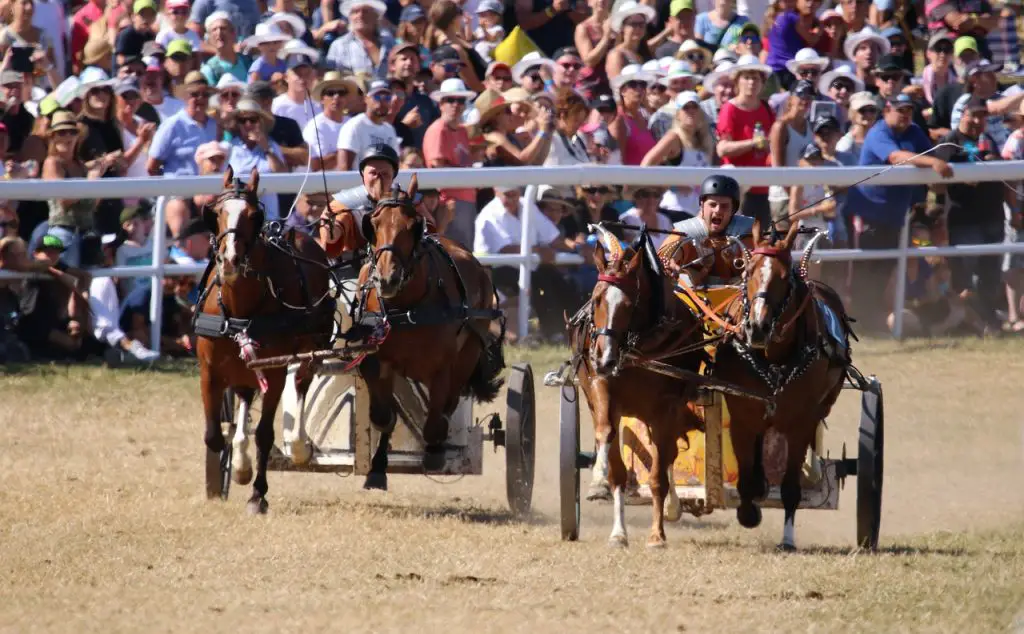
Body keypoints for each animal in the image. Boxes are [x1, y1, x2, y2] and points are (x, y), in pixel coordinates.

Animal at [195, 165, 331, 514]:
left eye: (254, 215)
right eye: (216, 212)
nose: (230, 260)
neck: (240, 309)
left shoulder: (275, 370)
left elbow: (265, 435)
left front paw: (258, 495)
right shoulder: (209, 371)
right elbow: (214, 435)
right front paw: (238, 468)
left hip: (310, 349)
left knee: (302, 385)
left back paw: (299, 447)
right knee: (244, 399)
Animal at [354, 176, 505, 489]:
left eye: (414, 225)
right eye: (372, 223)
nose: (387, 278)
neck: (404, 307)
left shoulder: (442, 367)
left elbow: (436, 417)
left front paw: (435, 453)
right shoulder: (376, 359)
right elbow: (383, 415)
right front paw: (376, 467)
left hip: (467, 354)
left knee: (448, 403)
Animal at [565, 228, 708, 548]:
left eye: (630, 305)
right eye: (596, 300)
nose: (603, 356)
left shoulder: (666, 407)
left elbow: (658, 475)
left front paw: (657, 534)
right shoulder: (602, 388)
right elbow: (609, 445)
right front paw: (617, 528)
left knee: (667, 455)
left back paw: (672, 506)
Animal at [712, 223, 847, 548]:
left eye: (785, 279)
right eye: (748, 271)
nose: (757, 327)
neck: (773, 357)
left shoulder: (801, 423)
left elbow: (790, 487)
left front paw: (787, 538)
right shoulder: (742, 417)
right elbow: (746, 478)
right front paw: (749, 511)